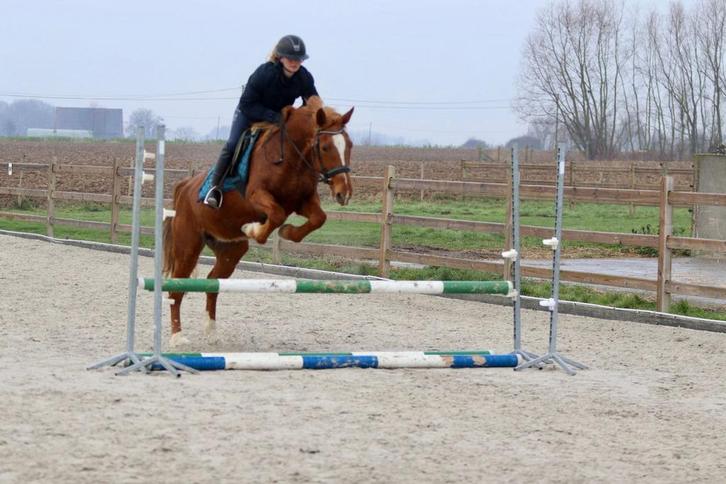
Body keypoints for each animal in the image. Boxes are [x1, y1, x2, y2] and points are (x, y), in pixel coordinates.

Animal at [162, 96, 354, 347]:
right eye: (325, 147)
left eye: (349, 145)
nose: (344, 193)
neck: (290, 157)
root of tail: (184, 186)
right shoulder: (257, 196)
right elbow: (276, 214)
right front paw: (253, 229)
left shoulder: (303, 201)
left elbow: (318, 218)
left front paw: (287, 232)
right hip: (188, 247)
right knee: (176, 289)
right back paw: (177, 338)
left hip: (230, 249)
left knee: (212, 283)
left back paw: (211, 331)